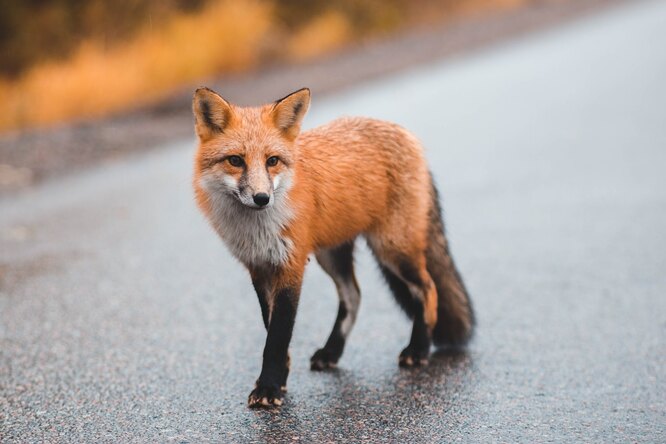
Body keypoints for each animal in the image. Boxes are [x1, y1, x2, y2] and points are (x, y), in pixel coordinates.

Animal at [192, 87, 472, 410]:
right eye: (236, 160)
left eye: (272, 160)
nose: (262, 198)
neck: (257, 228)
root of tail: (405, 132)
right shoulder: (259, 267)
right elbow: (270, 328)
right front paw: (280, 379)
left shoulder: (291, 265)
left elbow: (277, 335)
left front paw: (269, 387)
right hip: (332, 255)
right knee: (354, 295)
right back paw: (332, 352)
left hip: (392, 249)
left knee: (427, 289)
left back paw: (418, 349)